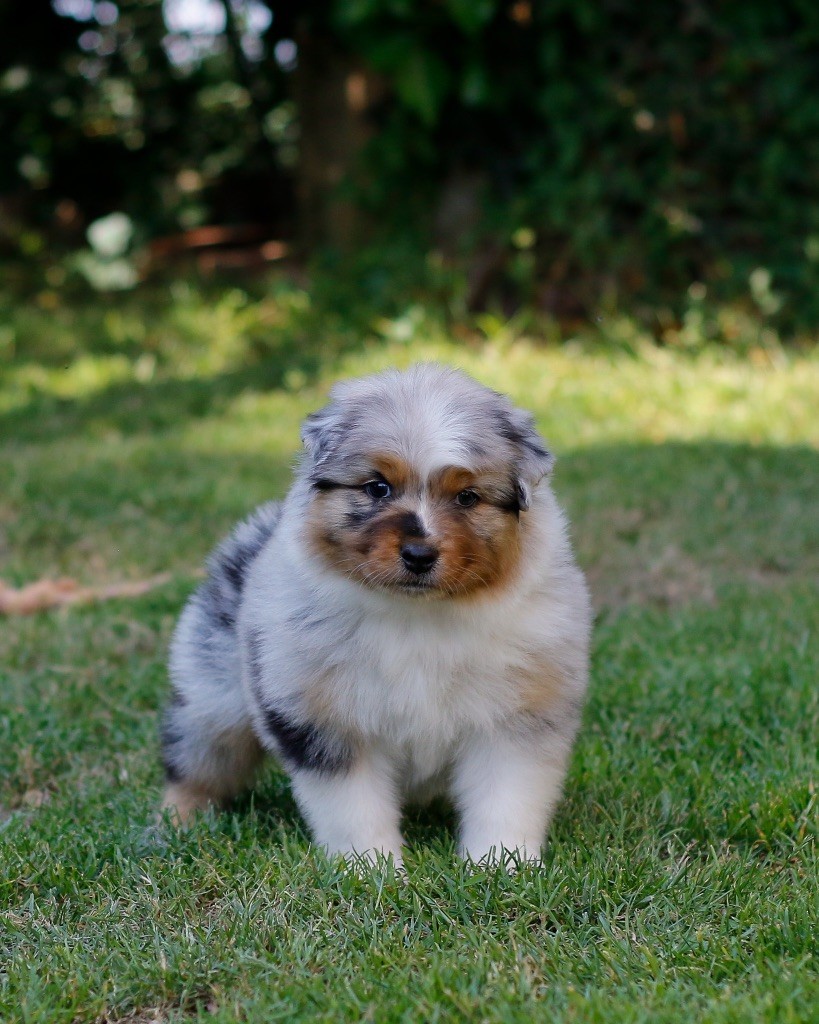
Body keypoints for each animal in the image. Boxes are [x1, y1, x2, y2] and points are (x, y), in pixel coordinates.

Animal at [161, 364, 591, 866]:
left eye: (467, 497)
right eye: (377, 487)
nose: (420, 555)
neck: (417, 615)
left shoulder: (517, 717)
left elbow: (505, 800)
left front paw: (502, 865)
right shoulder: (329, 723)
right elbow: (354, 808)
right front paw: (371, 869)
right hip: (215, 695)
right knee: (197, 760)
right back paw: (178, 824)